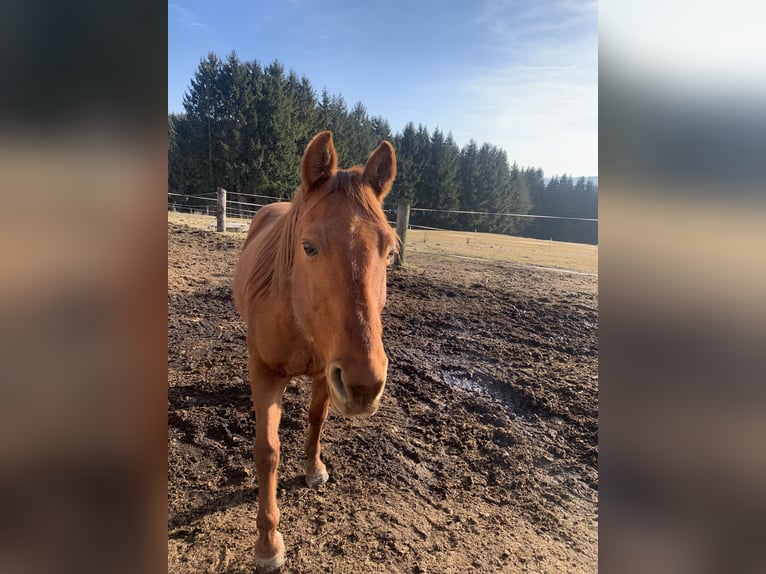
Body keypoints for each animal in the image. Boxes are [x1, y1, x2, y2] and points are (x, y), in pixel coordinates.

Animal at [232, 131, 397, 572]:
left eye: (390, 251)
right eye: (308, 247)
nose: (364, 386)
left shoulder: (328, 372)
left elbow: (317, 419)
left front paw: (314, 469)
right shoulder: (264, 373)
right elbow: (267, 452)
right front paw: (268, 543)